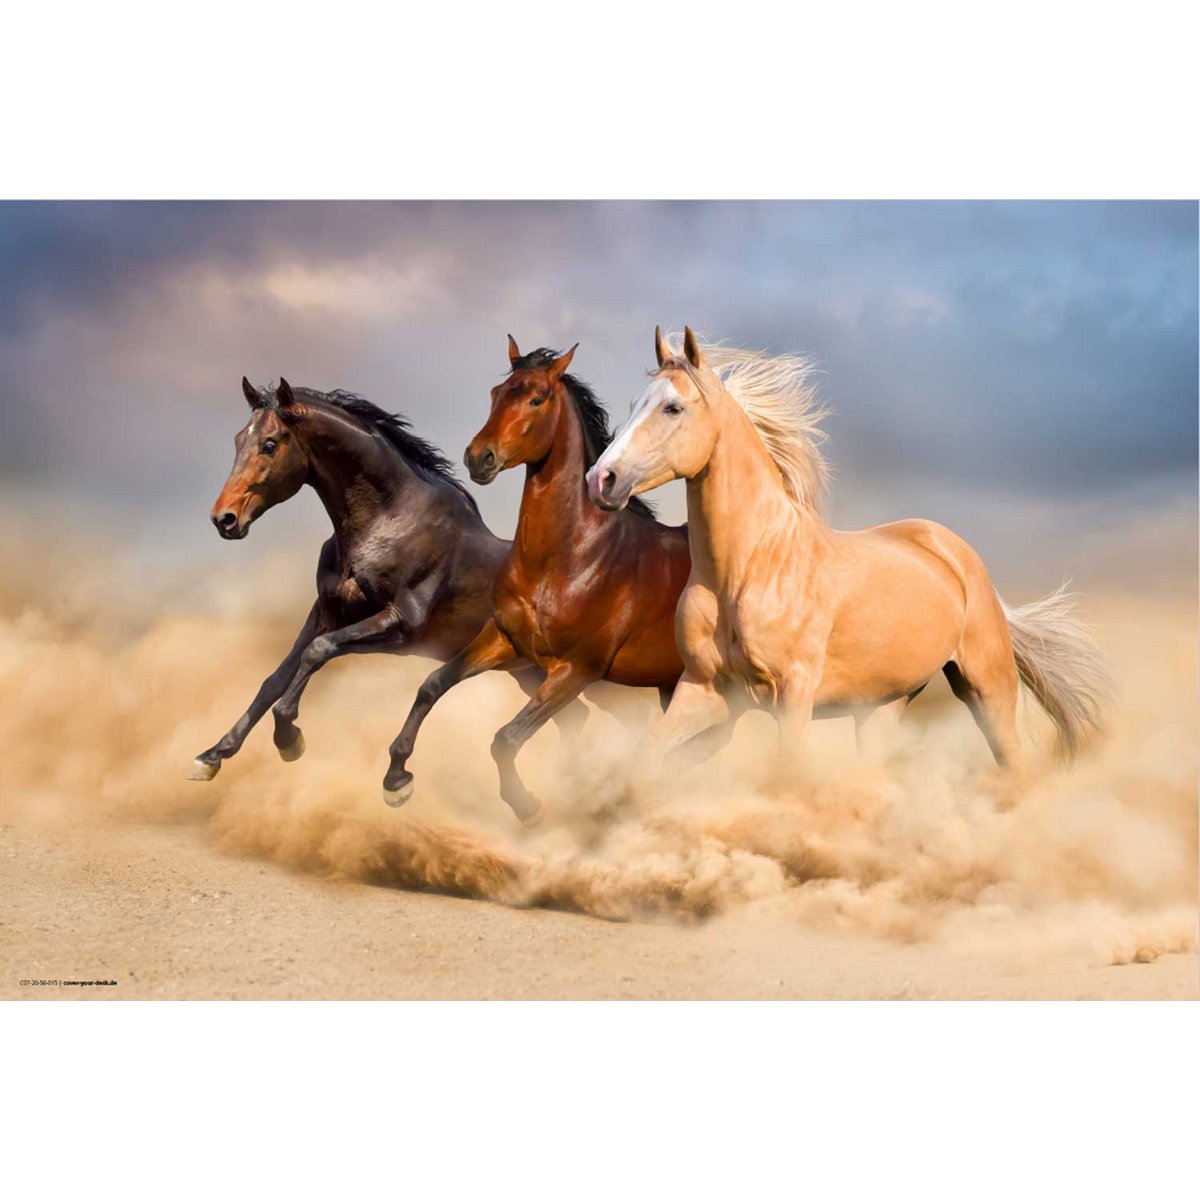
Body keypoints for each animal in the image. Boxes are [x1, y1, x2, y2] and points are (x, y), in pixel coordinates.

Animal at [188, 376, 589, 782]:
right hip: (530, 673)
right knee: (574, 717)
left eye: (269, 444)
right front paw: (212, 756)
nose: (224, 519)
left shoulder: (399, 625)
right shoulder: (327, 613)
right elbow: (275, 679)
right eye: (238, 440)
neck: (386, 523)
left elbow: (318, 652)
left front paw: (289, 738)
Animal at [381, 337, 691, 824]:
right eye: (496, 392)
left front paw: (528, 805)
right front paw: (396, 780)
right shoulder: (505, 640)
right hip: (669, 686)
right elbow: (432, 685)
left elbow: (506, 738)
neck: (569, 560)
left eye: (537, 398)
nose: (479, 457)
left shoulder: (576, 671)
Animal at [585, 326, 1108, 780]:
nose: (601, 479)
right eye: (635, 404)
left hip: (987, 688)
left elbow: (787, 775)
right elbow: (648, 755)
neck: (748, 568)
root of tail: (959, 556)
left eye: (672, 408)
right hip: (881, 708)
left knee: (1013, 764)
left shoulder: (793, 695)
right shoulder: (704, 689)